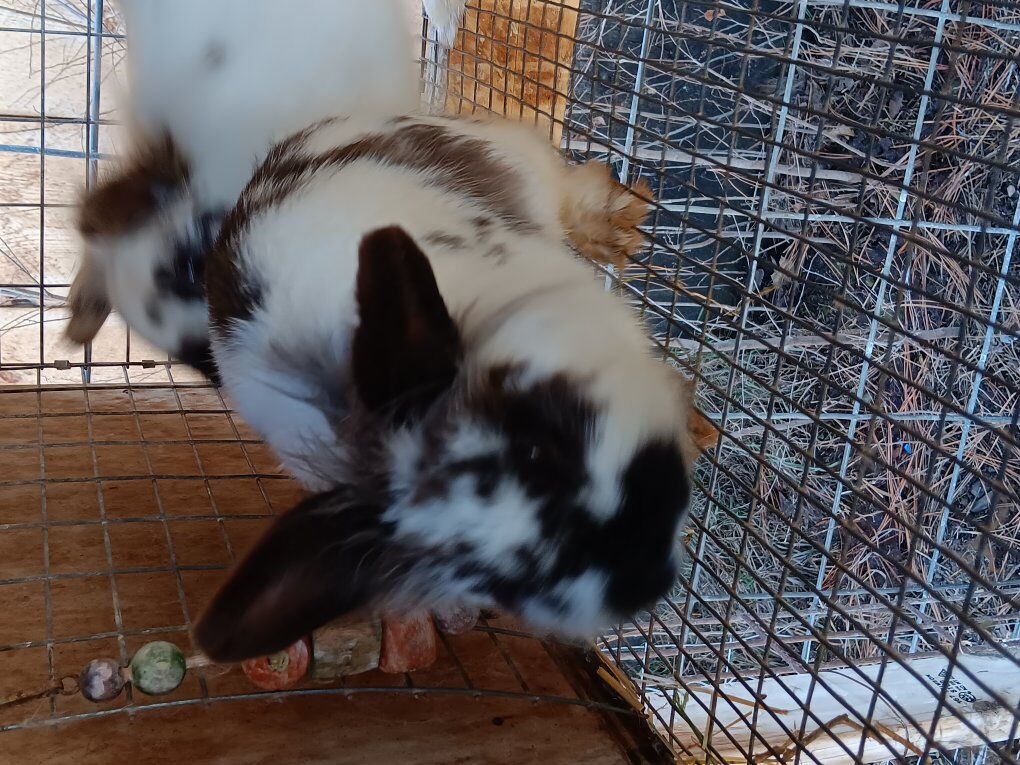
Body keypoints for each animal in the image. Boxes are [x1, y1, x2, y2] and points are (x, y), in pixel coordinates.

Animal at [193, 113, 715, 662]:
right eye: (490, 579)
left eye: (537, 449)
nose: (647, 575)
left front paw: (697, 431)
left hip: (517, 164)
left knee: (569, 190)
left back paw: (617, 228)